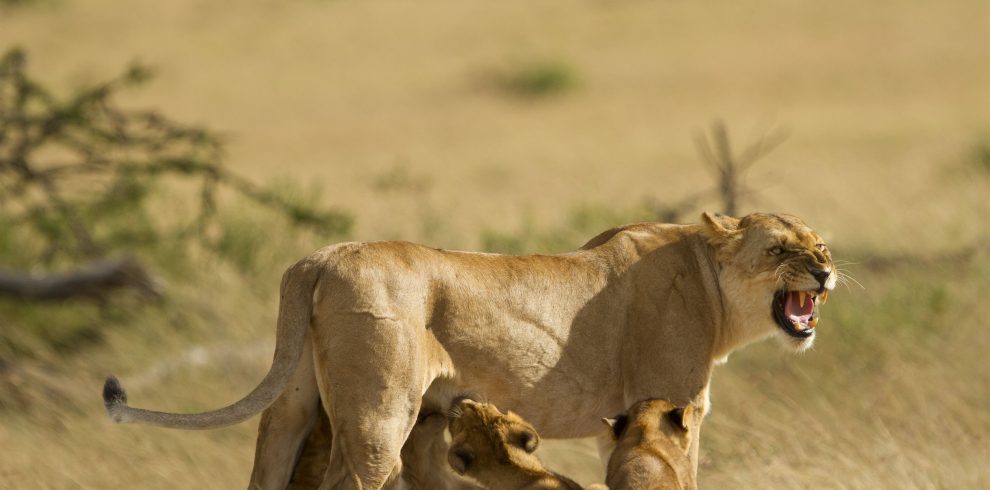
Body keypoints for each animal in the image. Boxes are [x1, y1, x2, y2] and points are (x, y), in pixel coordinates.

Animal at [101, 212, 836, 489]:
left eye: (819, 244)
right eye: (779, 248)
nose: (827, 272)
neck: (710, 282)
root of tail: (321, 258)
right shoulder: (675, 408)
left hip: (293, 408)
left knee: (267, 472)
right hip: (379, 413)